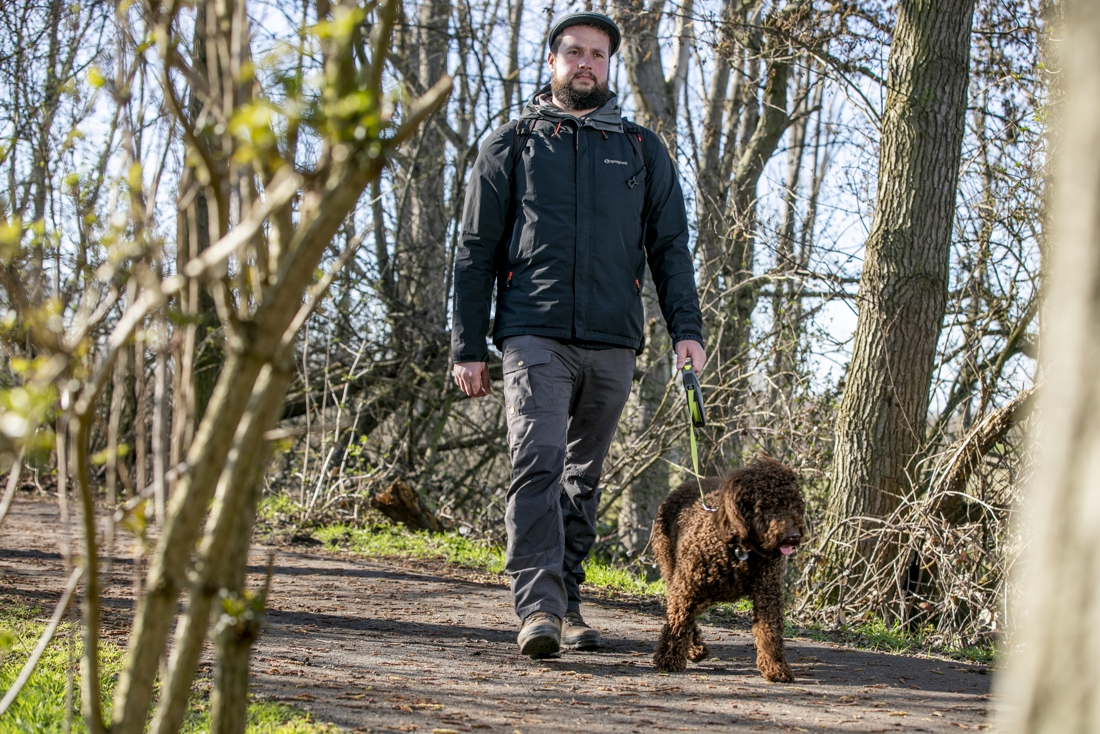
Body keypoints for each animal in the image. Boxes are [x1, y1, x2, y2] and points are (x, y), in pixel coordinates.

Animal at [646, 459, 805, 682]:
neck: (739, 548)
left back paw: (695, 649)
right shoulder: (685, 588)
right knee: (682, 616)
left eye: (793, 503)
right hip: (674, 571)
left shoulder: (767, 593)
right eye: (767, 506)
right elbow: (678, 622)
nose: (793, 536)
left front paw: (776, 667)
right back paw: (693, 648)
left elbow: (770, 632)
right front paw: (669, 659)